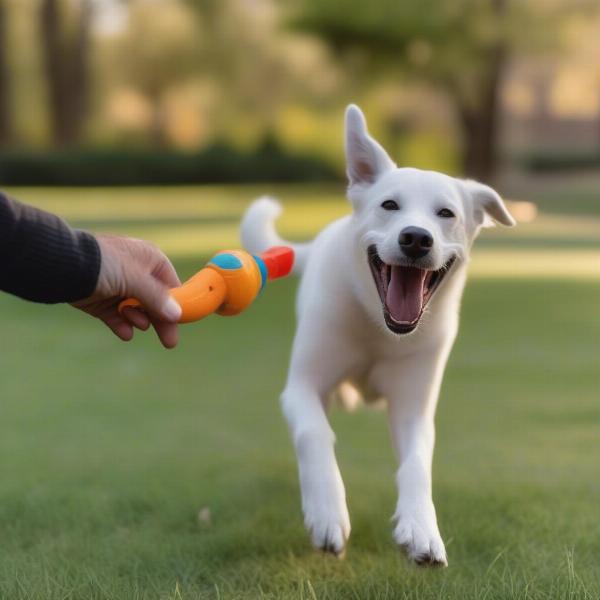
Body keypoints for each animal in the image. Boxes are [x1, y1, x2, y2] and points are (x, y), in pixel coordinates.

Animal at [241, 104, 512, 568]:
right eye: (390, 205)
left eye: (446, 214)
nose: (416, 238)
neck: (379, 327)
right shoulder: (302, 388)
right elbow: (314, 434)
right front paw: (327, 511)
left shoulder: (412, 408)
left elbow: (417, 463)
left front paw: (421, 529)